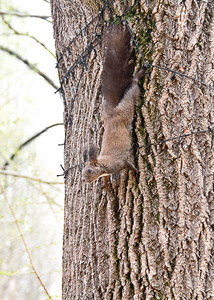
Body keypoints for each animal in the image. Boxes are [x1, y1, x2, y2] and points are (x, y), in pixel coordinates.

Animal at [81, 23, 145, 183]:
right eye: (82, 171)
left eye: (89, 170)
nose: (84, 180)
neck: (103, 164)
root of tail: (111, 113)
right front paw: (104, 184)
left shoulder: (120, 162)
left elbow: (129, 165)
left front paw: (136, 172)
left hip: (127, 105)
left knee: (132, 87)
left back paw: (140, 73)